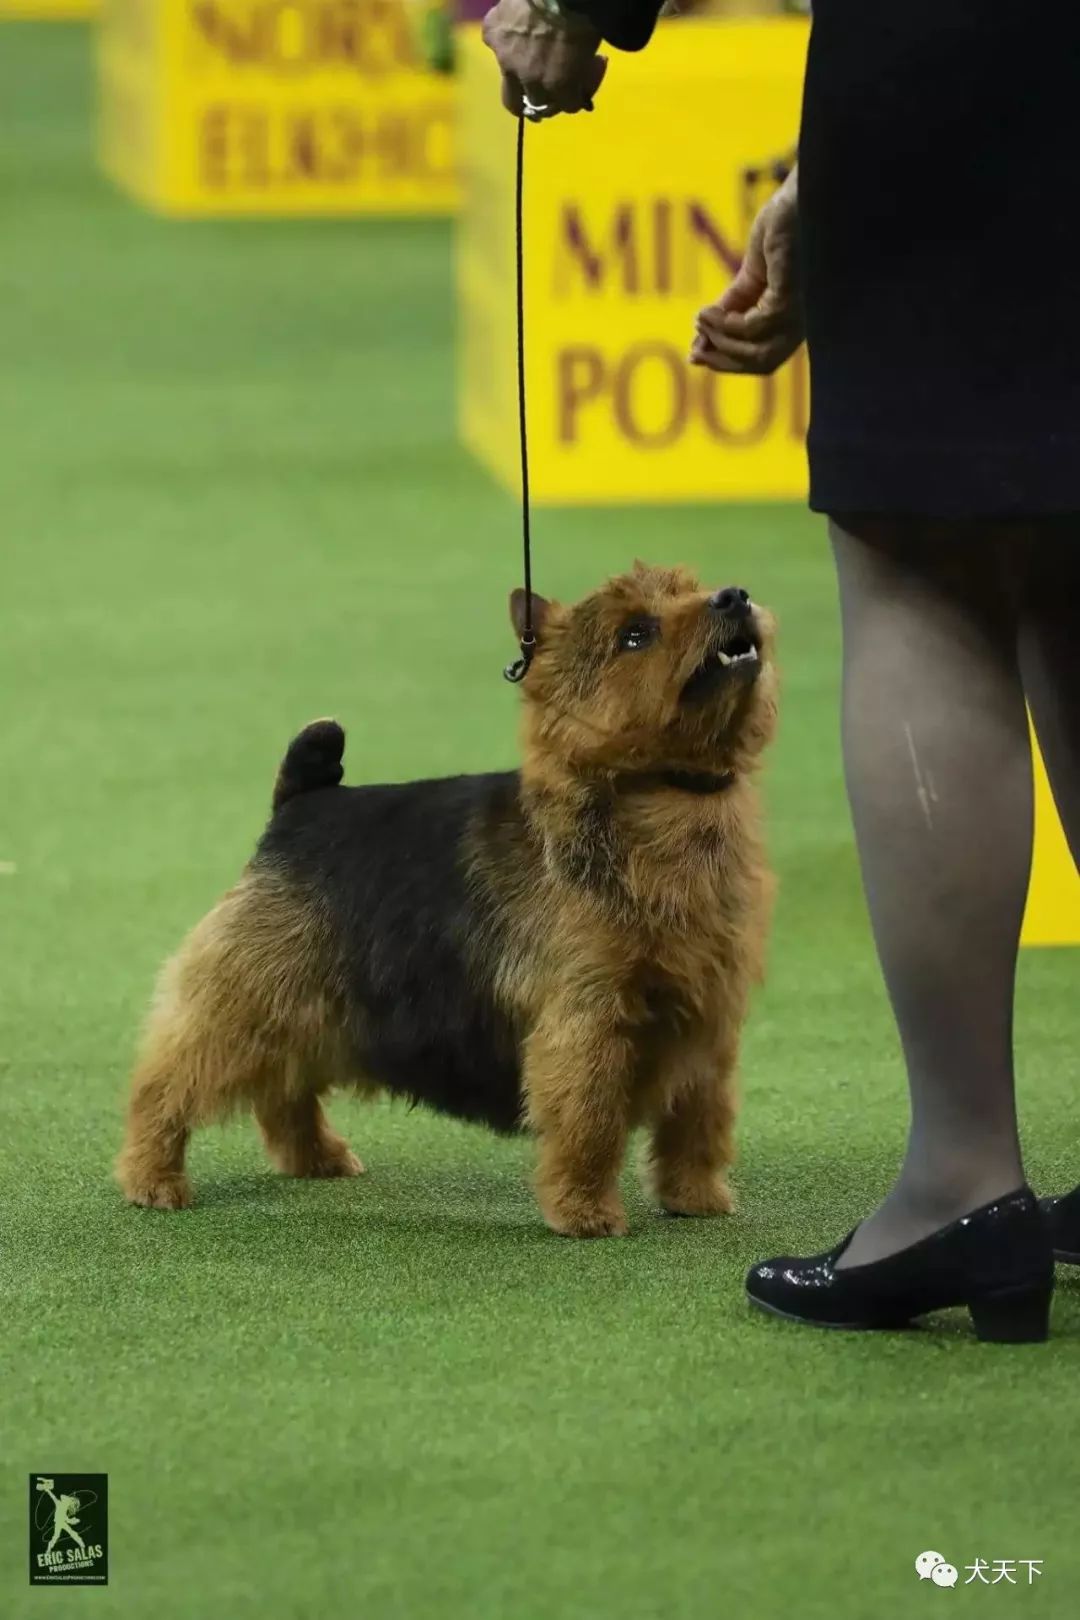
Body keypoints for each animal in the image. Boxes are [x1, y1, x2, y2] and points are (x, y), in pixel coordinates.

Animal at [118, 563, 777, 1231]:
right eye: (636, 634)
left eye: (691, 589)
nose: (733, 597)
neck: (658, 799)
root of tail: (301, 805)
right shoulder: (588, 1018)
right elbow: (589, 1118)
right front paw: (585, 1210)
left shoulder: (707, 1016)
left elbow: (699, 1121)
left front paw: (696, 1197)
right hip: (246, 997)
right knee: (167, 1082)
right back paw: (152, 1177)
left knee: (284, 1090)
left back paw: (315, 1157)